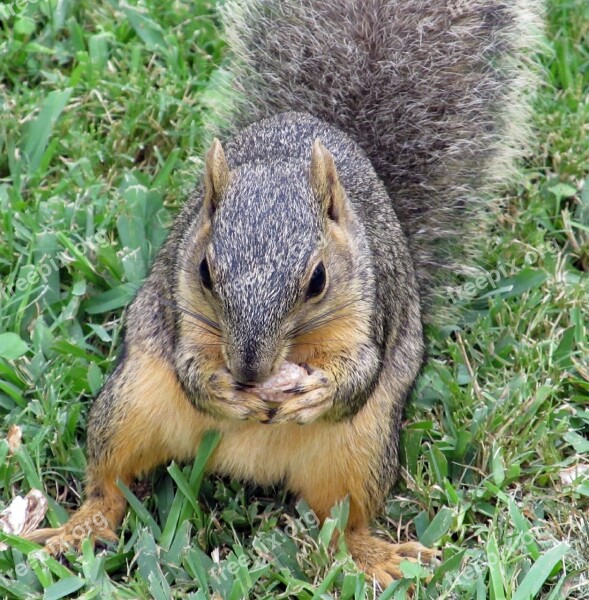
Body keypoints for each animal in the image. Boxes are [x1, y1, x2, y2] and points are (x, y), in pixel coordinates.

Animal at [26, 0, 544, 588]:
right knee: (109, 484)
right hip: (128, 408)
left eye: (317, 280)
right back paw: (79, 529)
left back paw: (376, 558)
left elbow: (360, 374)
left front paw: (320, 392)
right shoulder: (180, 308)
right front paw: (219, 388)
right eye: (204, 271)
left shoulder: (371, 309)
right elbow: (189, 367)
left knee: (341, 526)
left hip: (361, 453)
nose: (250, 372)